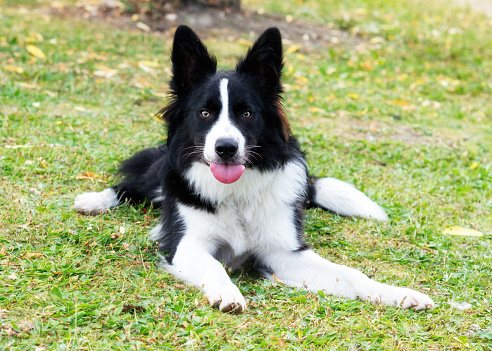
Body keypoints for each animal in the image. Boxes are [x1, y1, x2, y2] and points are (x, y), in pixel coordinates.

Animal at [74, 25, 434, 314]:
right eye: (205, 113)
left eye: (246, 113)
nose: (226, 148)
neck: (236, 194)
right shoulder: (186, 245)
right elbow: (214, 265)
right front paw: (226, 292)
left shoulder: (284, 252)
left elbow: (350, 273)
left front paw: (395, 293)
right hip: (161, 174)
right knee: (132, 186)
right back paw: (94, 200)